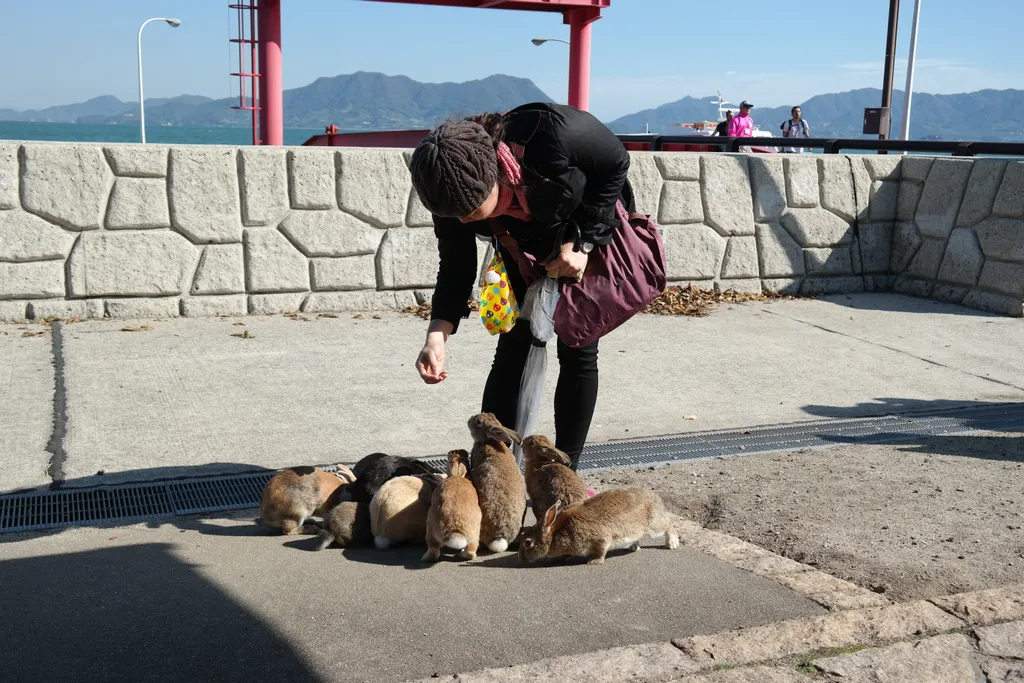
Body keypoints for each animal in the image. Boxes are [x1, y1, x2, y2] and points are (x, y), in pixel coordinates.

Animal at [520, 489, 679, 569]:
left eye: (528, 542)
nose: (521, 559)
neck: (556, 534)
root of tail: (656, 498)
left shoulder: (600, 540)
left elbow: (601, 552)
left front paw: (594, 562)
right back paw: (633, 547)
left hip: (654, 526)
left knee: (669, 524)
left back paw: (672, 543)